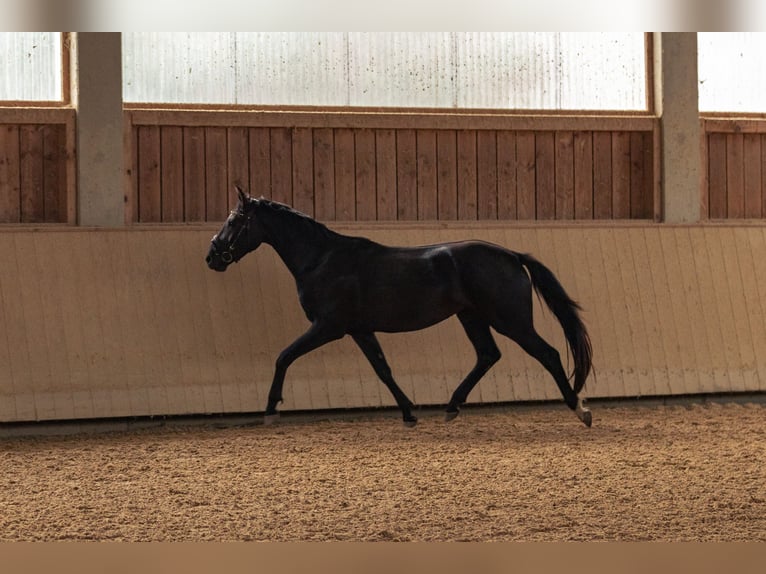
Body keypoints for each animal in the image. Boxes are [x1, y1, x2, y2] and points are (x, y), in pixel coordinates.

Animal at [206, 188, 592, 428]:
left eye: (233, 221)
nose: (212, 257)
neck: (322, 259)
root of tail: (512, 255)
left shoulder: (328, 327)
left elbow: (284, 357)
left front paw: (271, 409)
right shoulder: (360, 330)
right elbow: (383, 370)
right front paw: (408, 413)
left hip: (510, 320)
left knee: (549, 354)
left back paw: (580, 409)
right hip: (472, 317)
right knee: (487, 355)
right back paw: (451, 407)